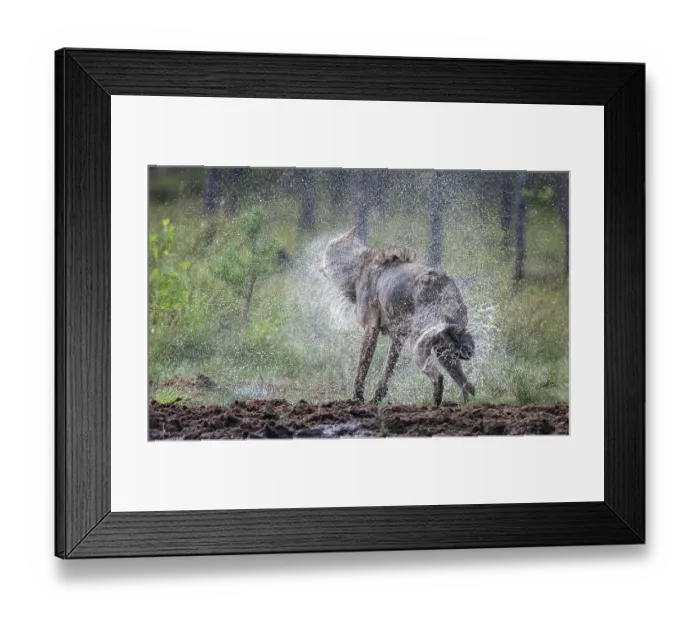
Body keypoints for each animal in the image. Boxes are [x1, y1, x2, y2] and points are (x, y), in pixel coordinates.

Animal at [321, 228, 475, 405]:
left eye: (327, 250)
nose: (320, 265)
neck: (359, 269)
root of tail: (439, 282)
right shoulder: (397, 337)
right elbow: (386, 373)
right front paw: (375, 400)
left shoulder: (371, 329)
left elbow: (362, 368)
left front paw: (357, 399)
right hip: (443, 349)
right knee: (468, 386)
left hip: (420, 348)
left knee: (439, 377)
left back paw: (434, 407)